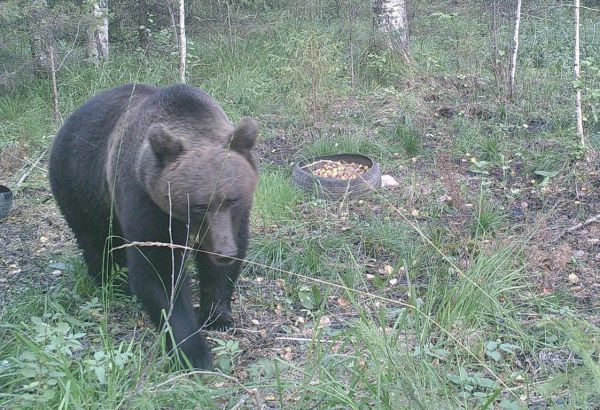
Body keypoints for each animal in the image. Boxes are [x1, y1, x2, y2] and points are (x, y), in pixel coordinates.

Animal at [48, 83, 258, 368]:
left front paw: (218, 316)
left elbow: (221, 264)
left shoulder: (234, 219)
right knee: (96, 240)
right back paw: (112, 282)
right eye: (199, 205)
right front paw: (194, 354)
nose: (224, 252)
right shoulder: (146, 200)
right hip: (82, 184)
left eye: (232, 199)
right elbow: (158, 270)